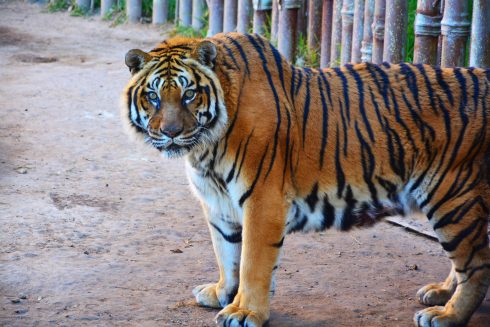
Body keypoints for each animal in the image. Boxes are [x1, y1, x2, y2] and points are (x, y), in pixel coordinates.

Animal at [119, 31, 490, 327]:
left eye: (189, 94)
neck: (205, 148)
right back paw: (439, 293)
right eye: (153, 96)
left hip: (452, 196)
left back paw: (447, 315)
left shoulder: (262, 201)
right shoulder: (218, 205)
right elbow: (226, 253)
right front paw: (222, 292)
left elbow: (252, 262)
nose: (170, 133)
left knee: (477, 264)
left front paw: (244, 312)